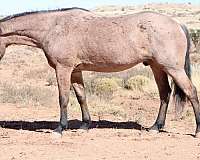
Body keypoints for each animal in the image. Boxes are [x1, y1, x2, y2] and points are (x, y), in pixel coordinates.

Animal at [0, 7, 200, 137]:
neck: (53, 27)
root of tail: (177, 23)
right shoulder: (75, 71)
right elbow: (81, 96)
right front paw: (84, 125)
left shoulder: (63, 68)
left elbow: (63, 98)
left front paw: (60, 129)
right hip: (157, 67)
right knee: (165, 93)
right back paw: (155, 127)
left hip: (173, 68)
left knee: (191, 92)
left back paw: (197, 131)